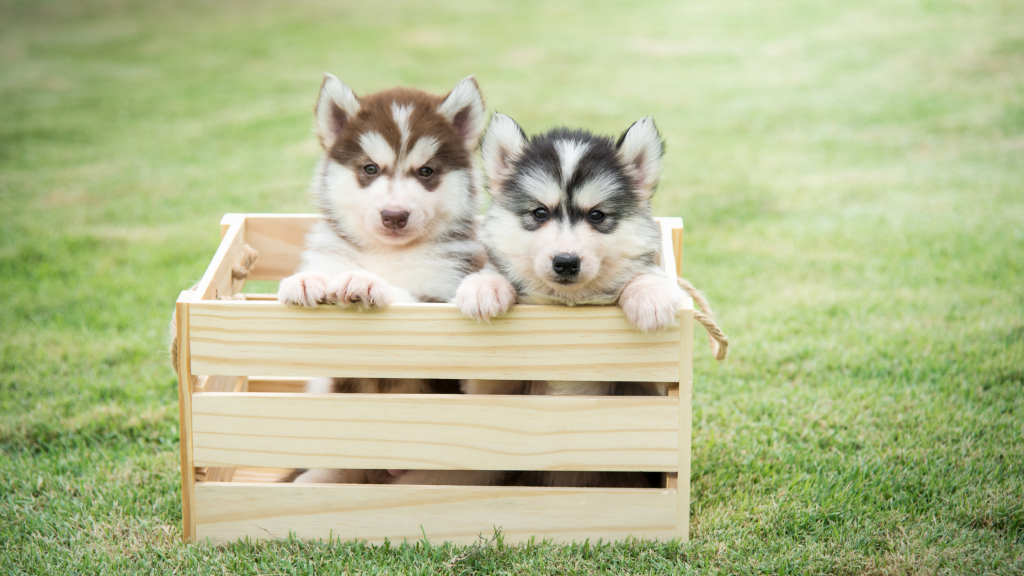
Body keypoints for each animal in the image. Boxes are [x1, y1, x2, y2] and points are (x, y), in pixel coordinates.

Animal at [276, 73, 487, 481]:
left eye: (426, 172)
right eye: (370, 169)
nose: (394, 215)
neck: (386, 254)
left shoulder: (445, 287)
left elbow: (411, 299)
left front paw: (366, 283)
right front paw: (305, 282)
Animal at [454, 114, 679, 485]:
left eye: (597, 215)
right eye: (539, 213)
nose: (566, 262)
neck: (566, 304)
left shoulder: (650, 392)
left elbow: (642, 276)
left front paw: (650, 295)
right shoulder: (487, 391)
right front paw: (485, 286)